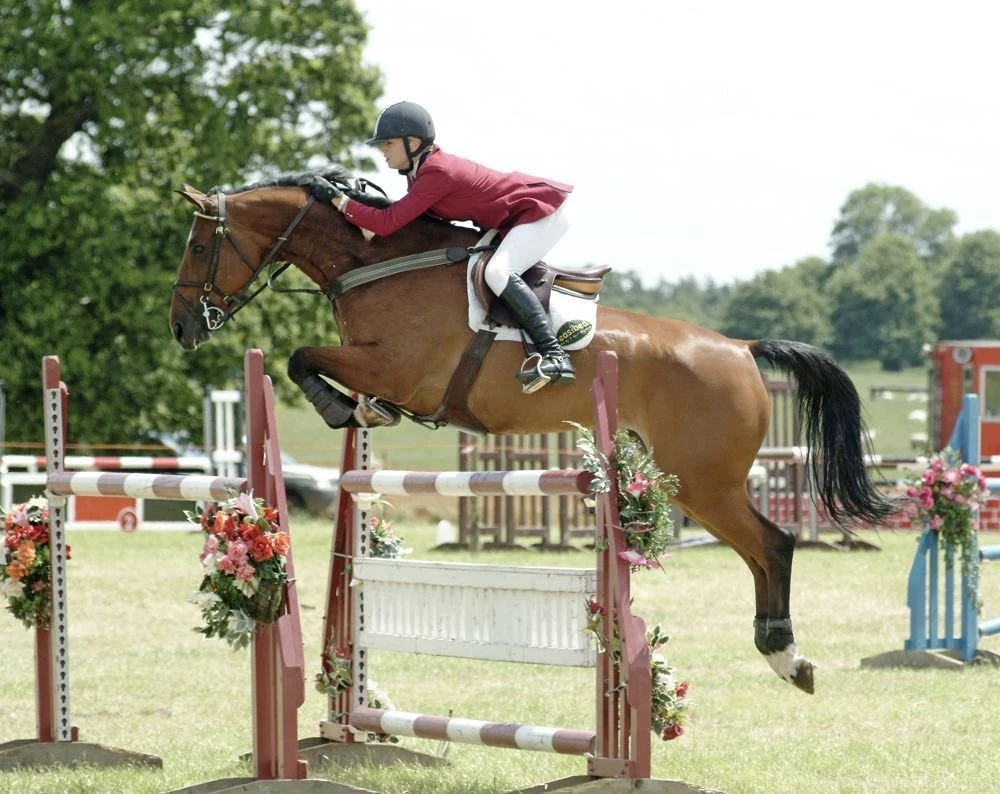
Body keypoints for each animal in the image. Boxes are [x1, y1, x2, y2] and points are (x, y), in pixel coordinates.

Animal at [169, 168, 898, 694]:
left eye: (200, 245)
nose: (182, 327)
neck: (372, 264)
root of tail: (742, 349)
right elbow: (306, 362)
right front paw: (357, 411)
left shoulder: (399, 368)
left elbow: (303, 358)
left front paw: (345, 408)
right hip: (696, 483)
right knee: (758, 552)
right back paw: (781, 651)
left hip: (702, 482)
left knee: (774, 544)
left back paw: (787, 656)